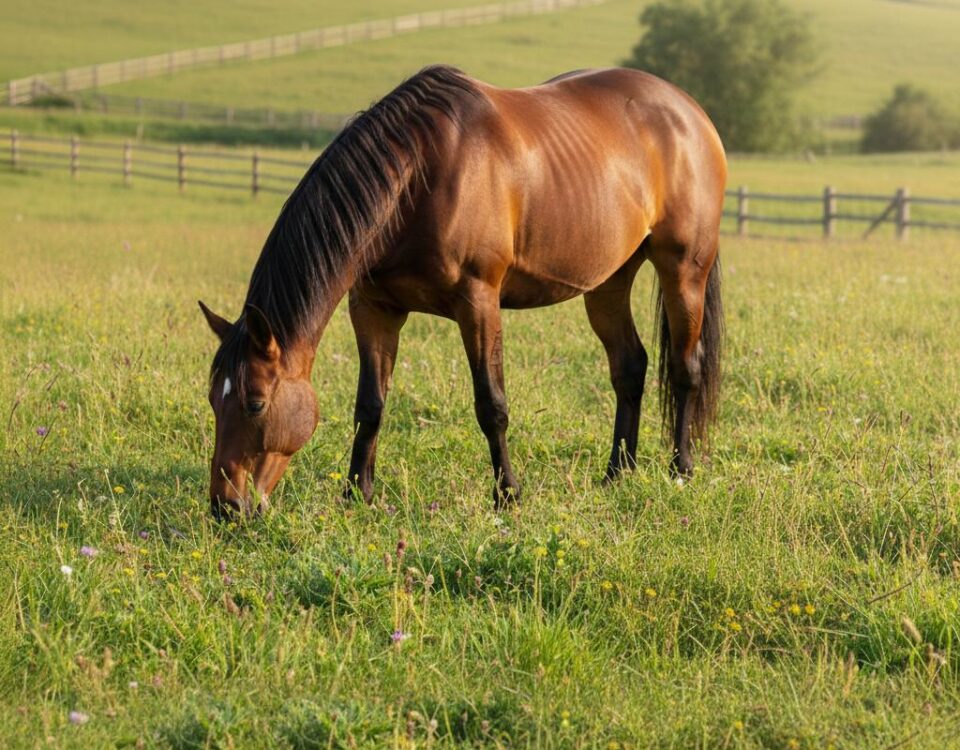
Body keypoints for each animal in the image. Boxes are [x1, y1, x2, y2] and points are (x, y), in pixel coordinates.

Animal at [199, 65, 725, 519]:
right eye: (212, 399)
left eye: (255, 403)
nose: (226, 507)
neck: (417, 177)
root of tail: (690, 112)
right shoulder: (373, 308)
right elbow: (370, 405)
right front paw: (356, 494)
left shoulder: (479, 303)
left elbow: (491, 405)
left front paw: (507, 495)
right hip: (609, 280)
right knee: (630, 367)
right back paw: (617, 473)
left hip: (684, 270)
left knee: (685, 368)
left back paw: (680, 469)